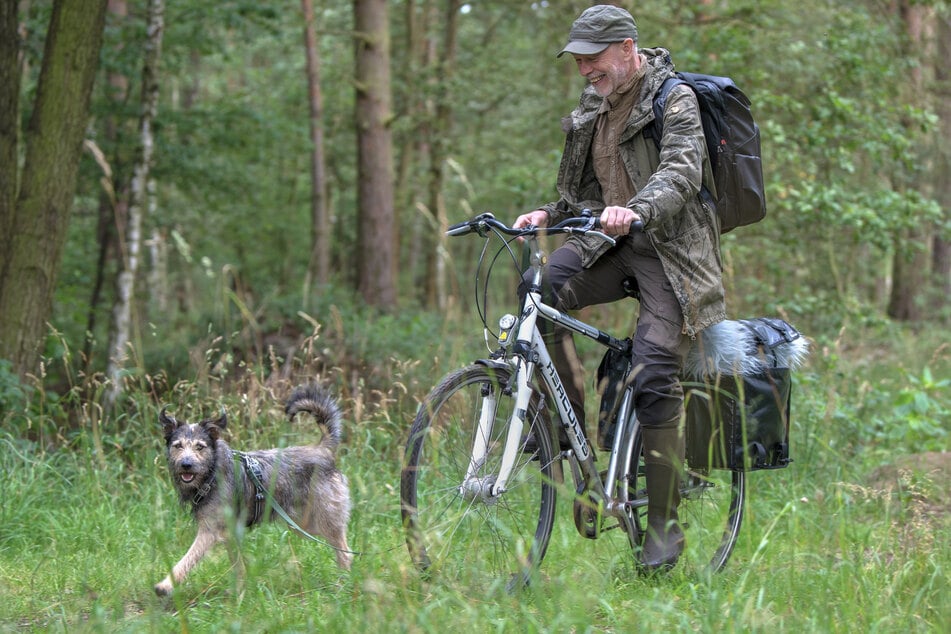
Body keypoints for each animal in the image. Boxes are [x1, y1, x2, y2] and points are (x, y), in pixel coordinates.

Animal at [156, 382, 354, 596]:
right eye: (178, 445)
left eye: (200, 447)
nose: (186, 464)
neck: (212, 474)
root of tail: (323, 449)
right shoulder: (228, 532)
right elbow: (238, 565)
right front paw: (240, 593)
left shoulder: (210, 531)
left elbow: (187, 559)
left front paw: (165, 585)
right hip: (303, 522)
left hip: (323, 518)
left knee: (345, 552)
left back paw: (343, 586)